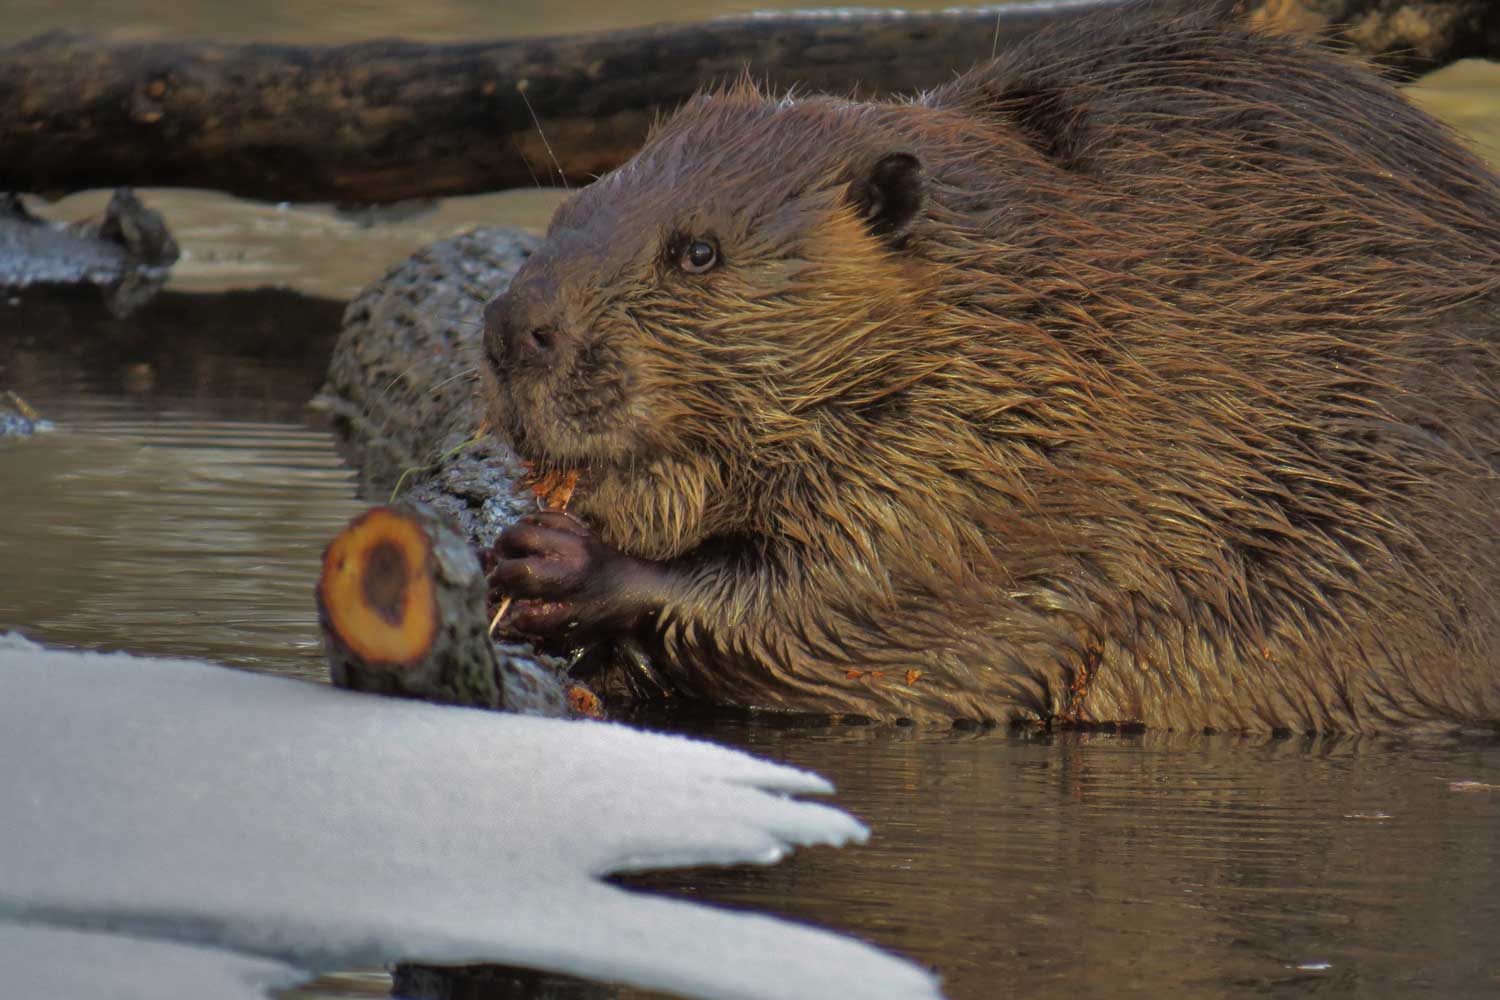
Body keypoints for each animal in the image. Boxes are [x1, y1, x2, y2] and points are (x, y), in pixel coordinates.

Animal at [480, 1, 1500, 734]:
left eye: (698, 253)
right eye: (570, 207)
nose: (512, 327)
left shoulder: (1016, 468)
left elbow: (845, 603)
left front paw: (553, 561)